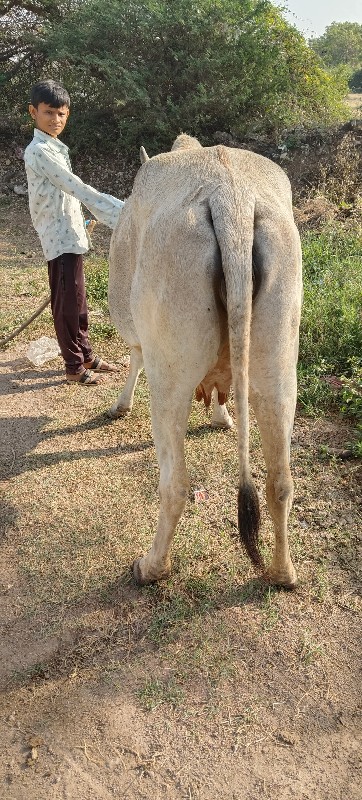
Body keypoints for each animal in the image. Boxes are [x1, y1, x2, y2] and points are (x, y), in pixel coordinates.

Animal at [108, 134, 302, 588]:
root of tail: (231, 197)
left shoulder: (135, 328)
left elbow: (134, 356)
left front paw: (121, 404)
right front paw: (221, 416)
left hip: (169, 376)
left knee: (174, 483)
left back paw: (152, 567)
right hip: (279, 364)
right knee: (279, 481)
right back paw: (282, 573)